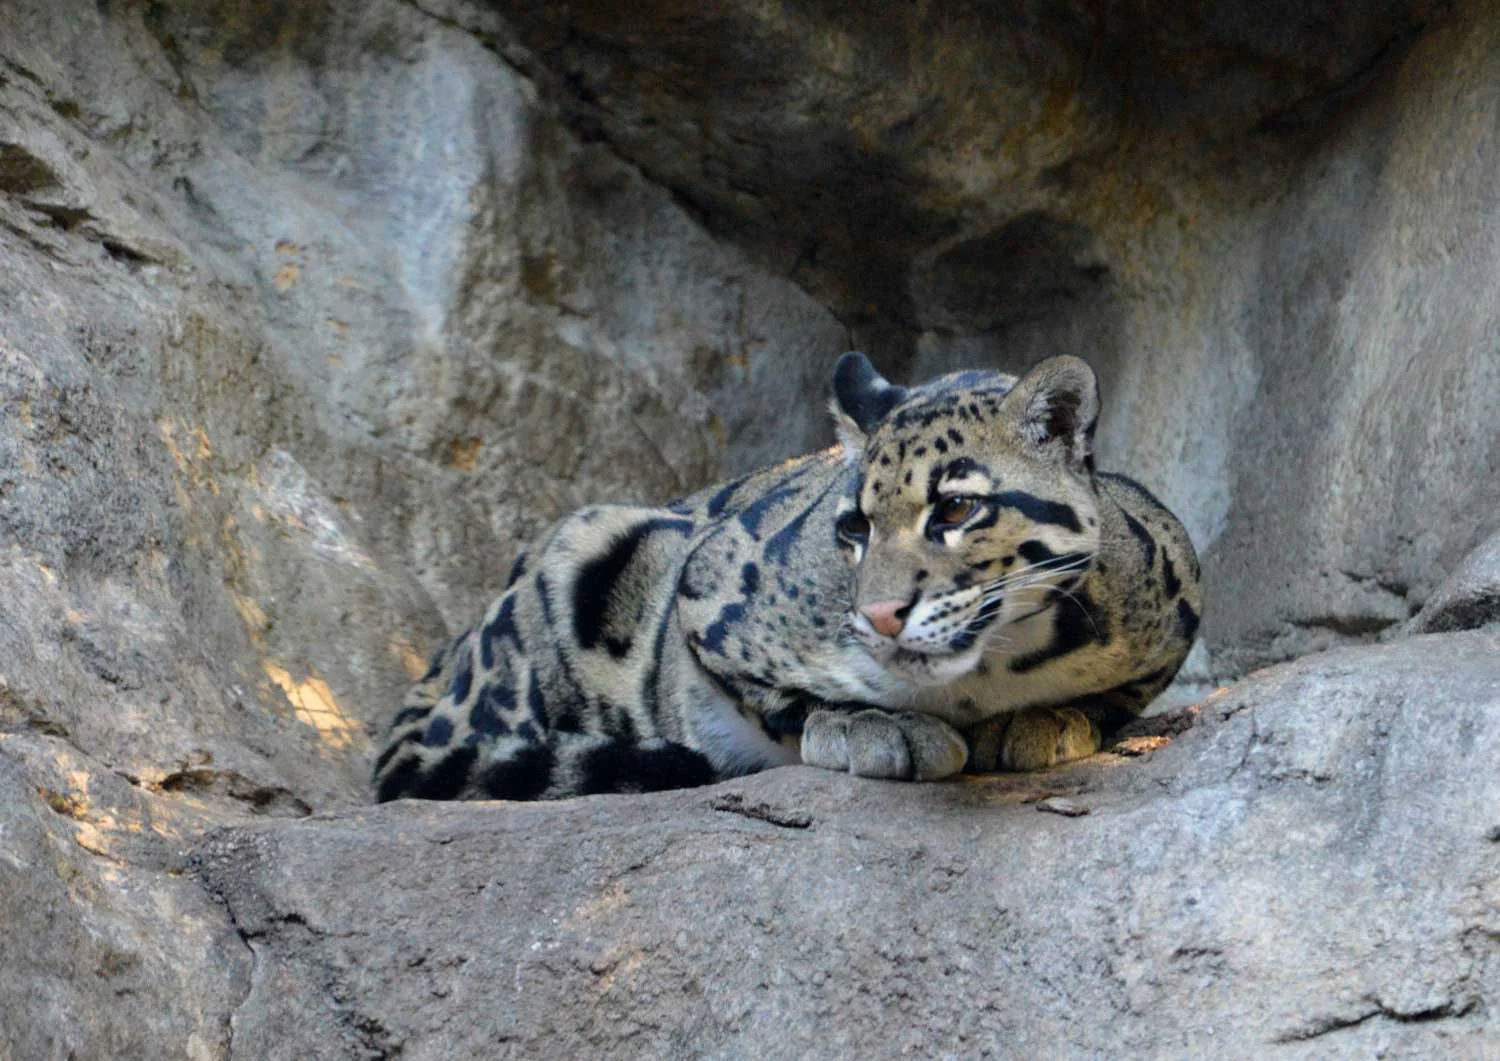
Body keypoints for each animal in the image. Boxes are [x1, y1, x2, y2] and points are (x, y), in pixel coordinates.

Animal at [373, 352, 1202, 801]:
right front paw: (871, 725)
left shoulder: (1175, 599)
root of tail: (444, 659)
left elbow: (1117, 695)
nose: (880, 614)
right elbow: (779, 697)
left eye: (957, 507)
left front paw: (1049, 718)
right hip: (589, 542)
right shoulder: (708, 585)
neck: (983, 673)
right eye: (854, 527)